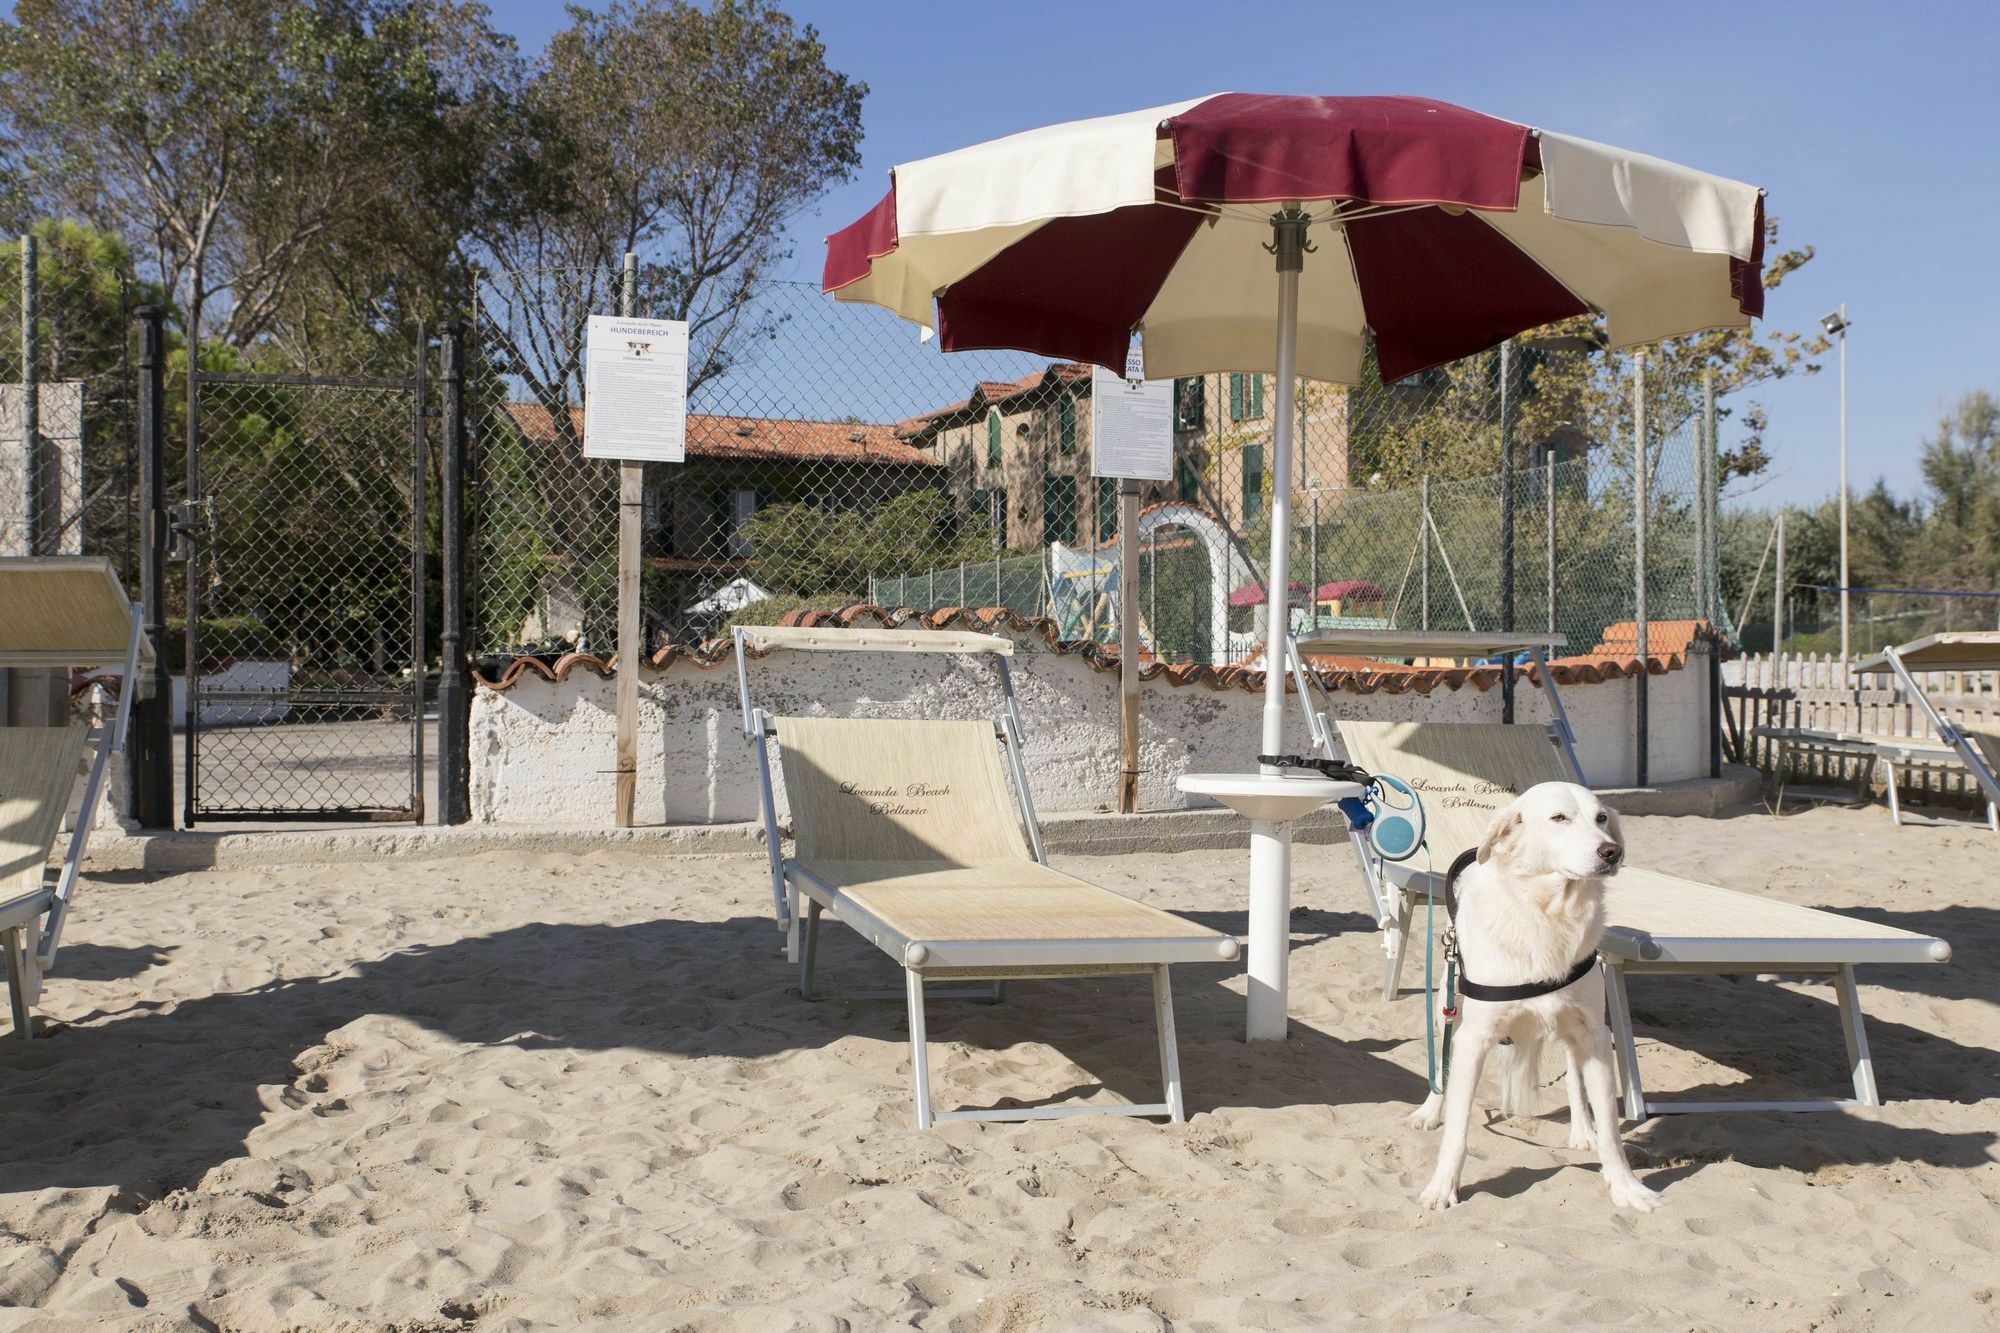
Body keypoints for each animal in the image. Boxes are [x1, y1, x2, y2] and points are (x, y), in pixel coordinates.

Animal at [1408, 772, 1672, 1208]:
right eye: (1558, 818)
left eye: (1602, 818)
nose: (1612, 852)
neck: (1547, 914)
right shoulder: (1473, 1039)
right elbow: (1458, 1128)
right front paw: (1442, 1187)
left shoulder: (1594, 1033)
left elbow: (1611, 1130)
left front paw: (1625, 1186)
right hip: (1448, 1005)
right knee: (1441, 1062)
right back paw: (1429, 1112)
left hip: (1574, 1031)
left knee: (1574, 1080)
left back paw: (1582, 1130)